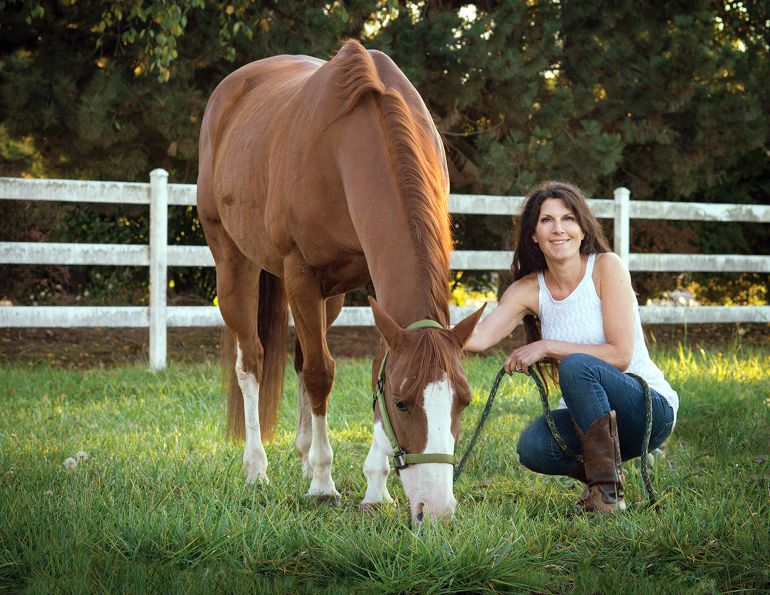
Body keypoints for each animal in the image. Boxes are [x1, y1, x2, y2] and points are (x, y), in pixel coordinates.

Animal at [197, 39, 484, 525]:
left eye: (463, 400)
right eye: (403, 403)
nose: (437, 510)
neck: (345, 148)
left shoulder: (373, 288)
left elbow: (368, 371)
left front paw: (376, 488)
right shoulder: (301, 274)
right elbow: (320, 373)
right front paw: (323, 483)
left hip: (328, 297)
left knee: (296, 358)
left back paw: (301, 452)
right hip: (234, 263)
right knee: (252, 362)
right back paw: (257, 468)